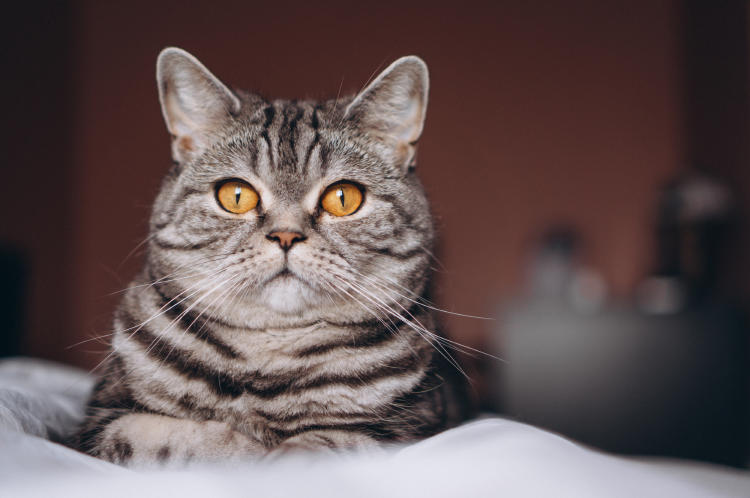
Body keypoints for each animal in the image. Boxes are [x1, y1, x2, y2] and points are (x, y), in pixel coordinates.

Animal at [76, 47, 472, 466]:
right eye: (235, 195)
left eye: (343, 197)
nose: (286, 235)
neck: (271, 356)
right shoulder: (102, 419)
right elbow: (173, 436)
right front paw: (252, 449)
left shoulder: (408, 428)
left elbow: (326, 443)